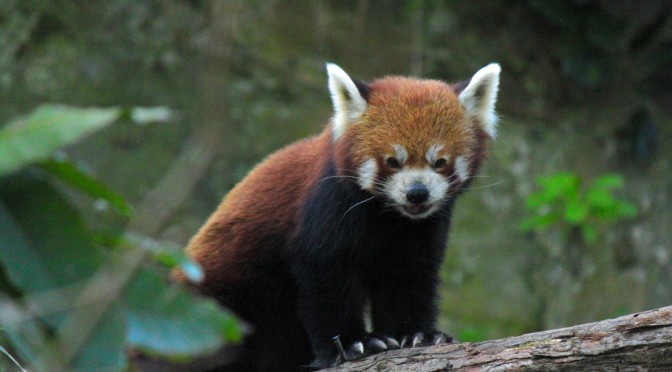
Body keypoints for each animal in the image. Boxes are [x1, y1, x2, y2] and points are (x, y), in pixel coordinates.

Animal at [176, 62, 502, 370]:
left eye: (440, 162)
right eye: (393, 161)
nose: (417, 193)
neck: (388, 216)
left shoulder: (421, 230)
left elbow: (408, 277)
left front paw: (418, 334)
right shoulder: (327, 208)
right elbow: (327, 279)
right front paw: (356, 343)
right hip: (217, 301)